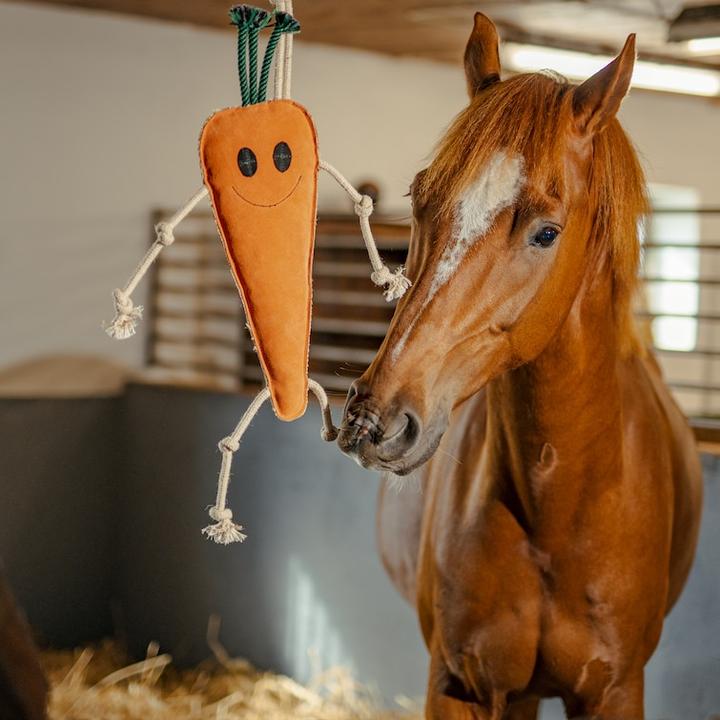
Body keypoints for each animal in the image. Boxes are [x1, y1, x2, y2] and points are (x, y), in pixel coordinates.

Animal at [337, 13, 703, 720]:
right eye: (420, 199)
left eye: (545, 232)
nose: (376, 419)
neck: (554, 513)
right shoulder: (458, 681)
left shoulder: (616, 689)